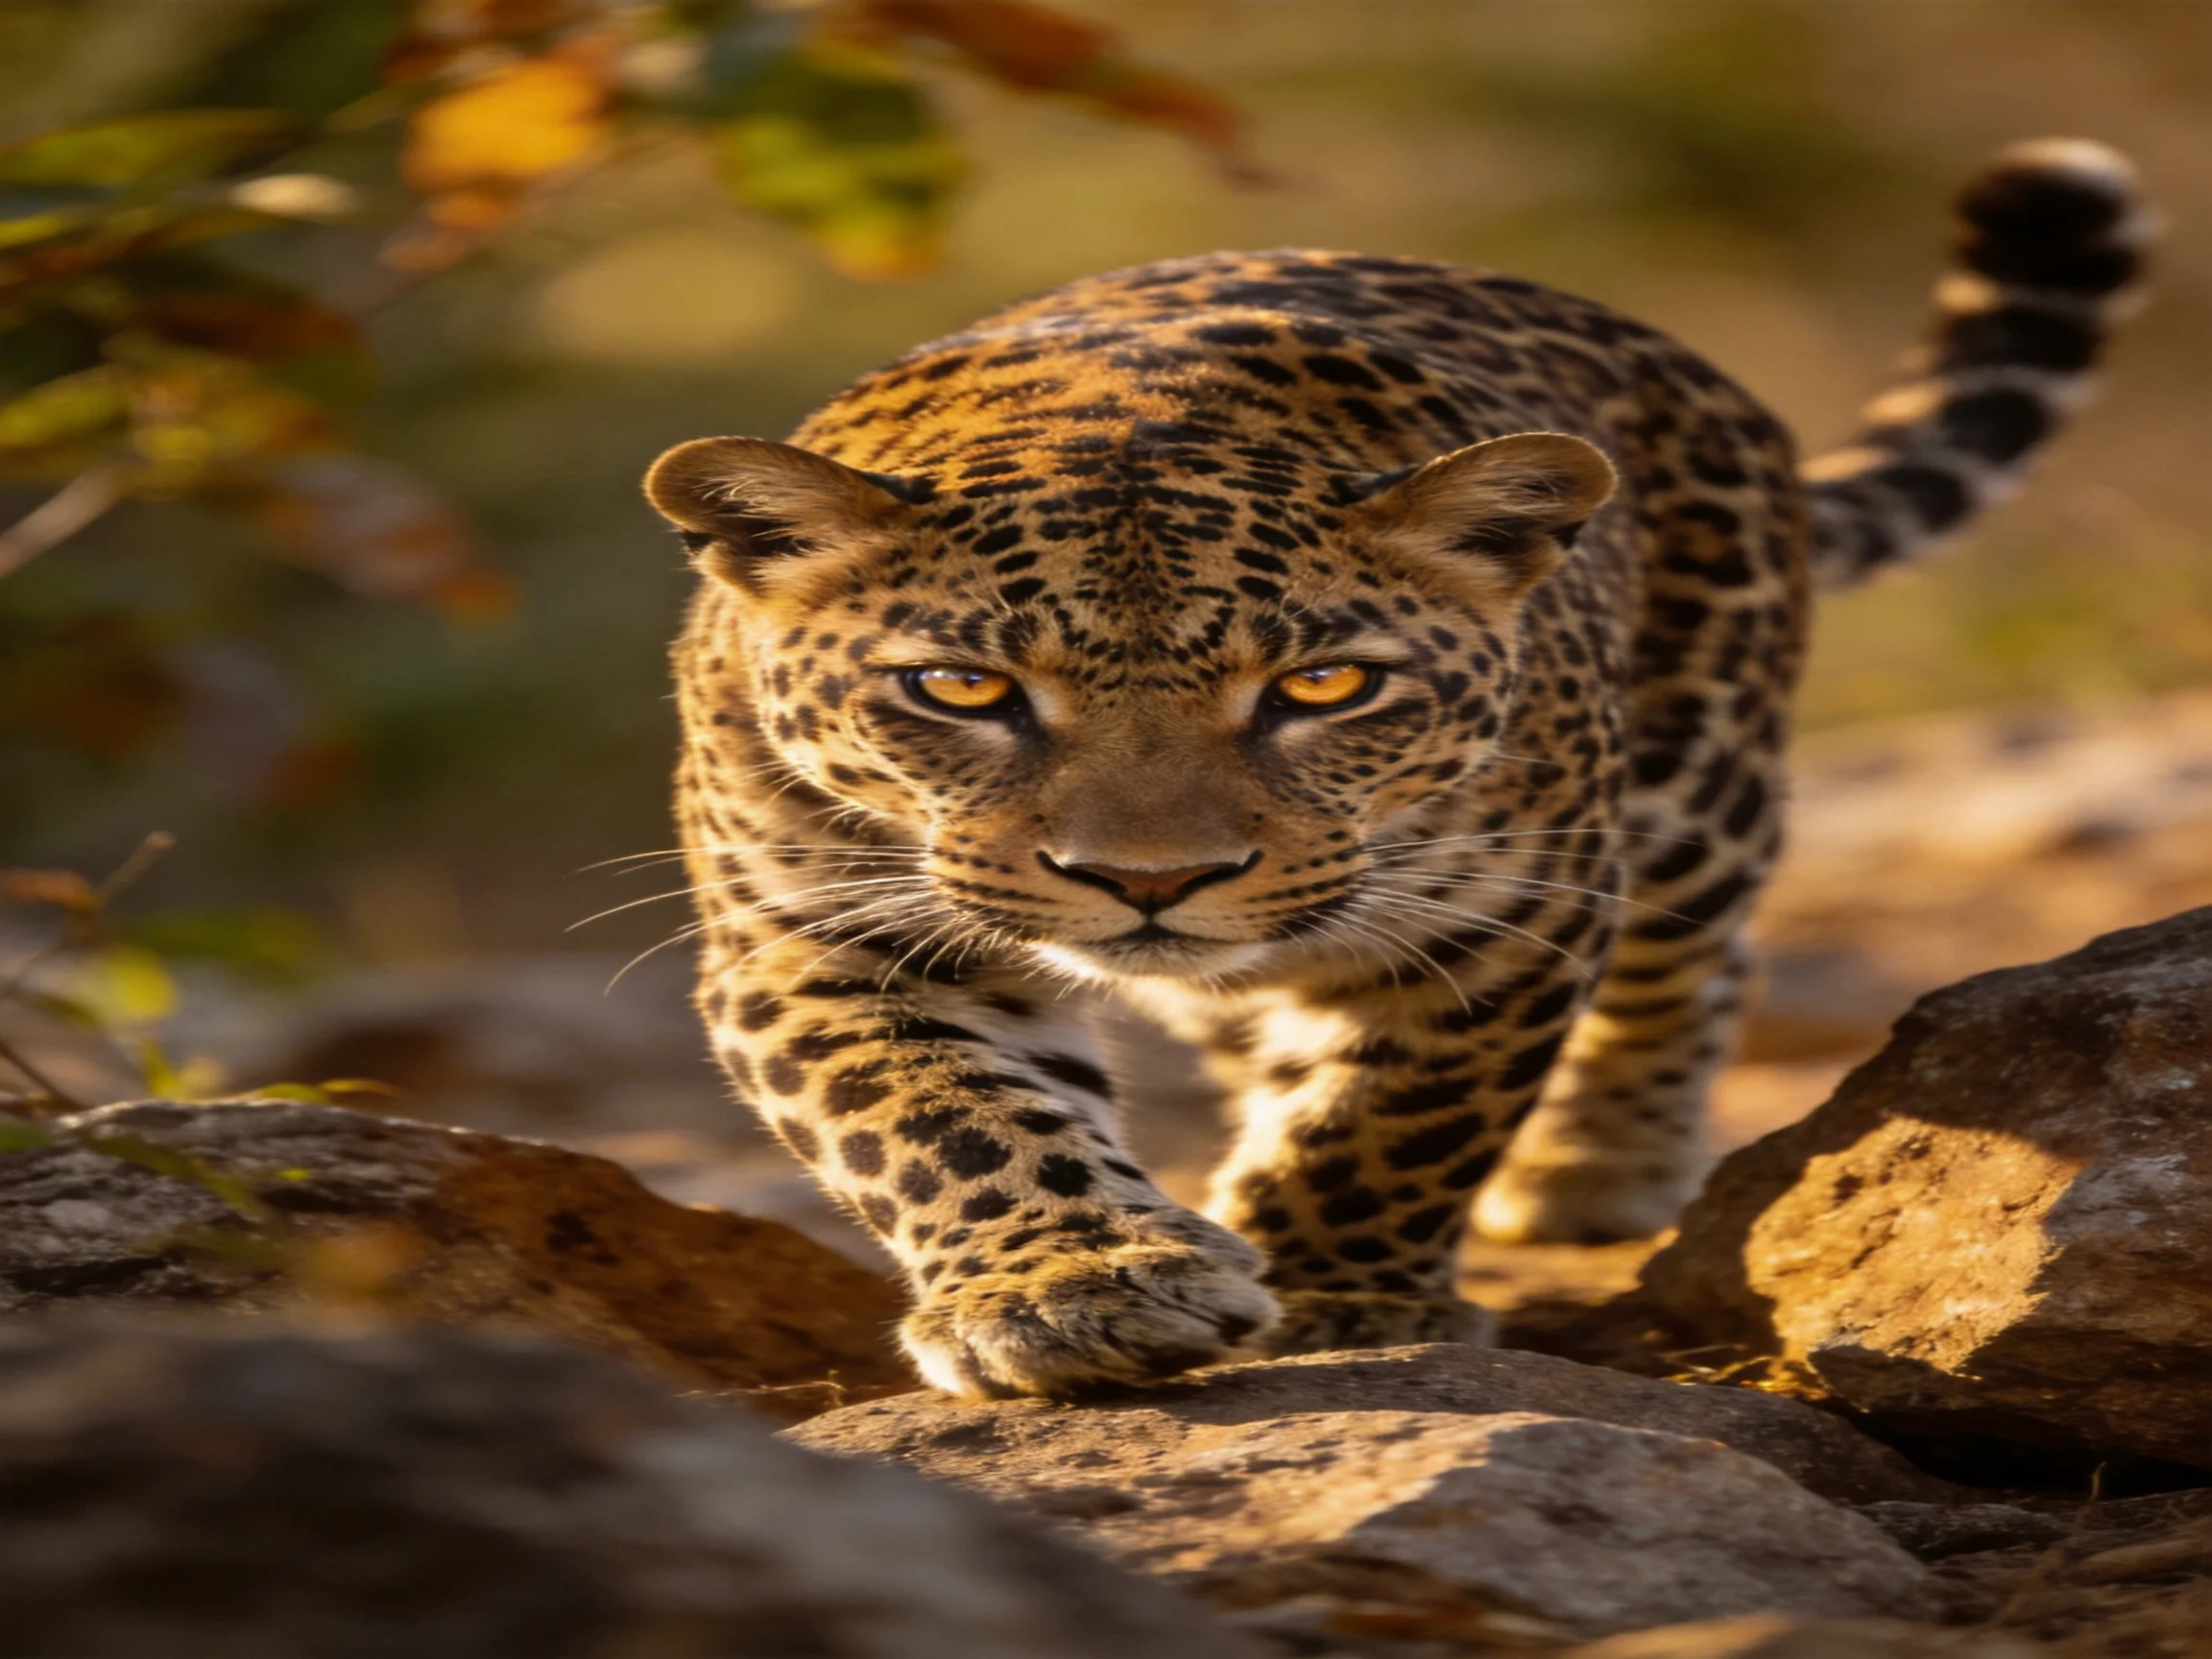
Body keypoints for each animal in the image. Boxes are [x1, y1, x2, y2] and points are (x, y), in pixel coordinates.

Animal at [643, 139, 2154, 1399]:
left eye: (1325, 686)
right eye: (963, 689)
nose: (1153, 882)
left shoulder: (1505, 910)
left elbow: (1389, 1117)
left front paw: (1336, 1297)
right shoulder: (817, 933)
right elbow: (937, 1116)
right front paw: (1076, 1289)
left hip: (1697, 783)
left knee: (1696, 957)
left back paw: (1598, 1167)